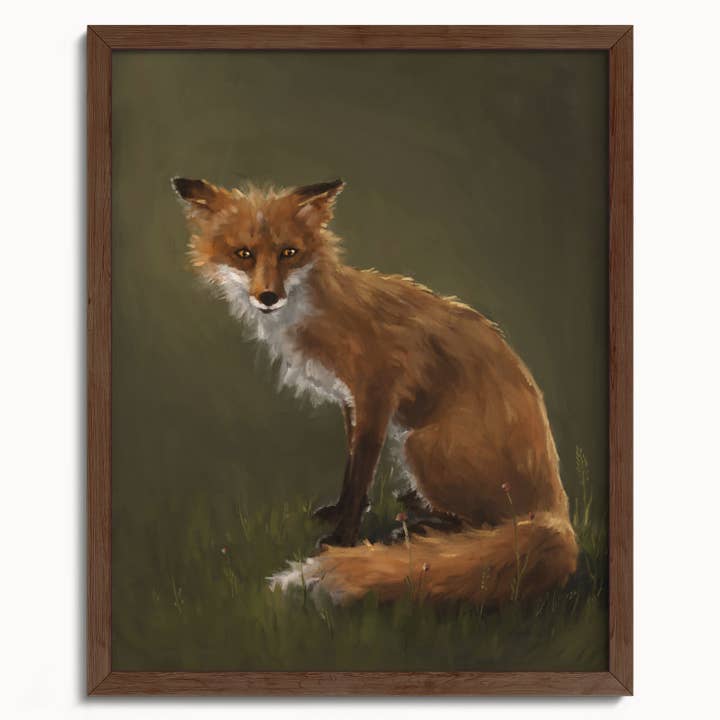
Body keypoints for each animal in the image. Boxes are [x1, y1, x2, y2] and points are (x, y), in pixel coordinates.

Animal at [172, 175, 578, 607]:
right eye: (244, 254)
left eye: (289, 253)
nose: (268, 297)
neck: (318, 311)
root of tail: (556, 509)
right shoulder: (350, 401)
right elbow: (351, 469)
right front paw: (339, 513)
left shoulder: (377, 393)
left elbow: (360, 475)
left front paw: (341, 539)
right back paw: (417, 508)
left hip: (418, 445)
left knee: (491, 526)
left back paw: (422, 528)